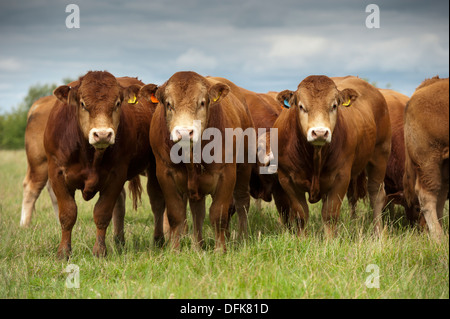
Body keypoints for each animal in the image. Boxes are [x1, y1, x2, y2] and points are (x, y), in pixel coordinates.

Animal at [44, 70, 165, 260]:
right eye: (83, 104)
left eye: (117, 103)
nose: (102, 134)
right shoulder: (56, 173)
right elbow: (67, 214)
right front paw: (63, 252)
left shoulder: (116, 175)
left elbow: (102, 213)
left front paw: (100, 251)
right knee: (121, 204)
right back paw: (119, 241)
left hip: (154, 165)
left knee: (157, 200)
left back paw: (158, 240)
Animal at [139, 72, 255, 252]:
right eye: (168, 104)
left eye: (202, 102)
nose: (185, 132)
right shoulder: (165, 174)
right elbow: (176, 214)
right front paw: (174, 250)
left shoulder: (226, 174)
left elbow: (218, 214)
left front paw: (220, 250)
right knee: (197, 212)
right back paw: (197, 246)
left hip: (244, 169)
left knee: (242, 202)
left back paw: (241, 238)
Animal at [272, 75, 392, 238]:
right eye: (301, 106)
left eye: (334, 106)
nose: (320, 132)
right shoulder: (287, 179)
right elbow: (301, 215)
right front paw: (302, 239)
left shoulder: (341, 177)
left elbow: (330, 214)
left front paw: (330, 241)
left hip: (380, 155)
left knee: (376, 195)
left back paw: (378, 233)